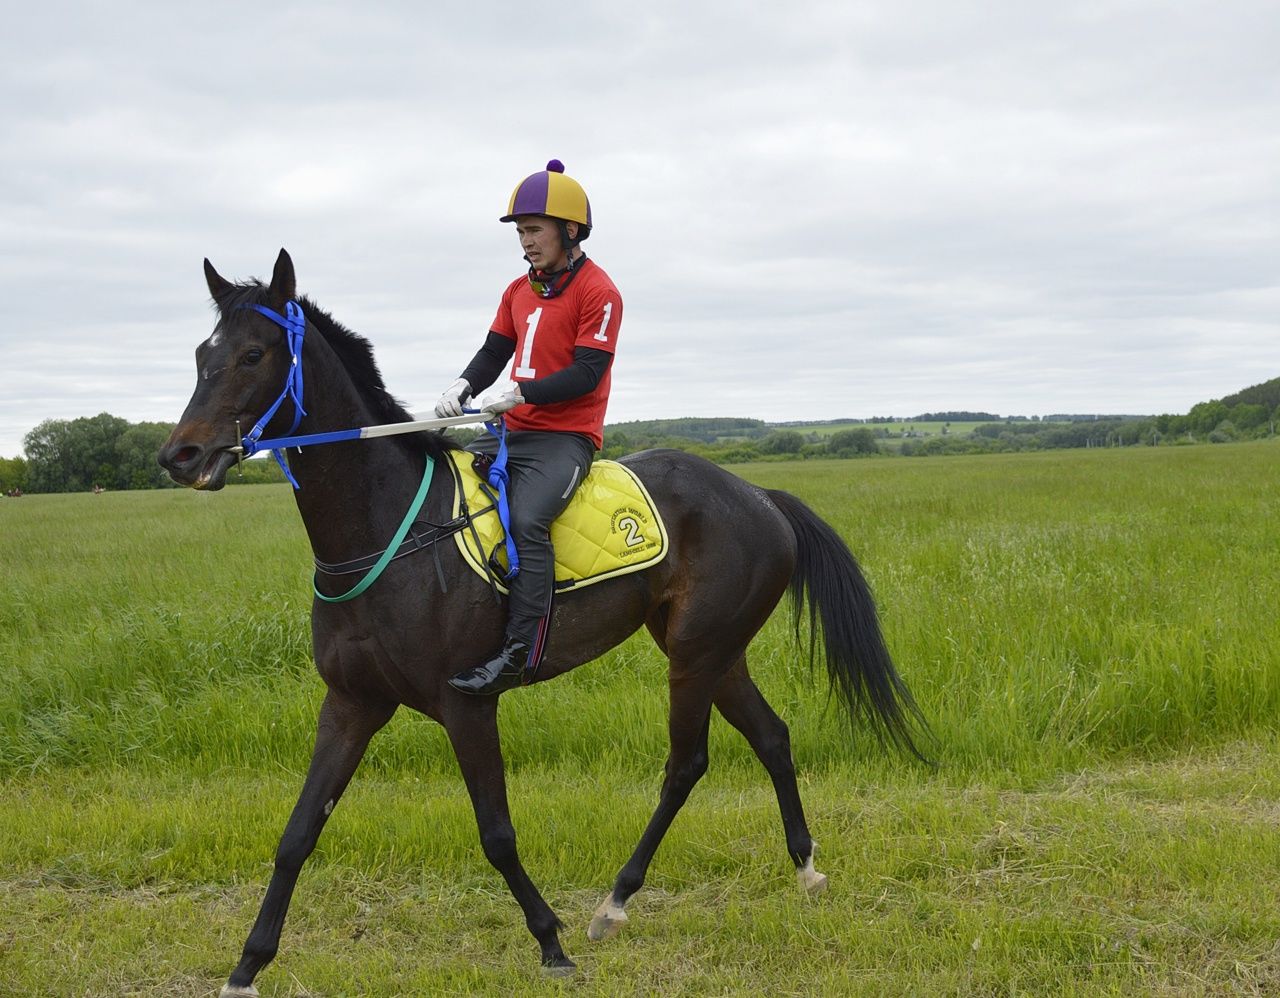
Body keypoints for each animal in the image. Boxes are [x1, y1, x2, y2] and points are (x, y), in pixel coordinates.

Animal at [157, 246, 931, 987]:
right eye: (201, 353)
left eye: (255, 354)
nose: (180, 455)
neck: (389, 530)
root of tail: (761, 496)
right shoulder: (350, 704)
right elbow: (296, 834)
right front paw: (248, 965)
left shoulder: (466, 705)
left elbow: (497, 834)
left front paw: (550, 941)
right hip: (715, 649)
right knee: (771, 736)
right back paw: (805, 867)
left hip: (697, 655)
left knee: (686, 764)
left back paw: (614, 903)